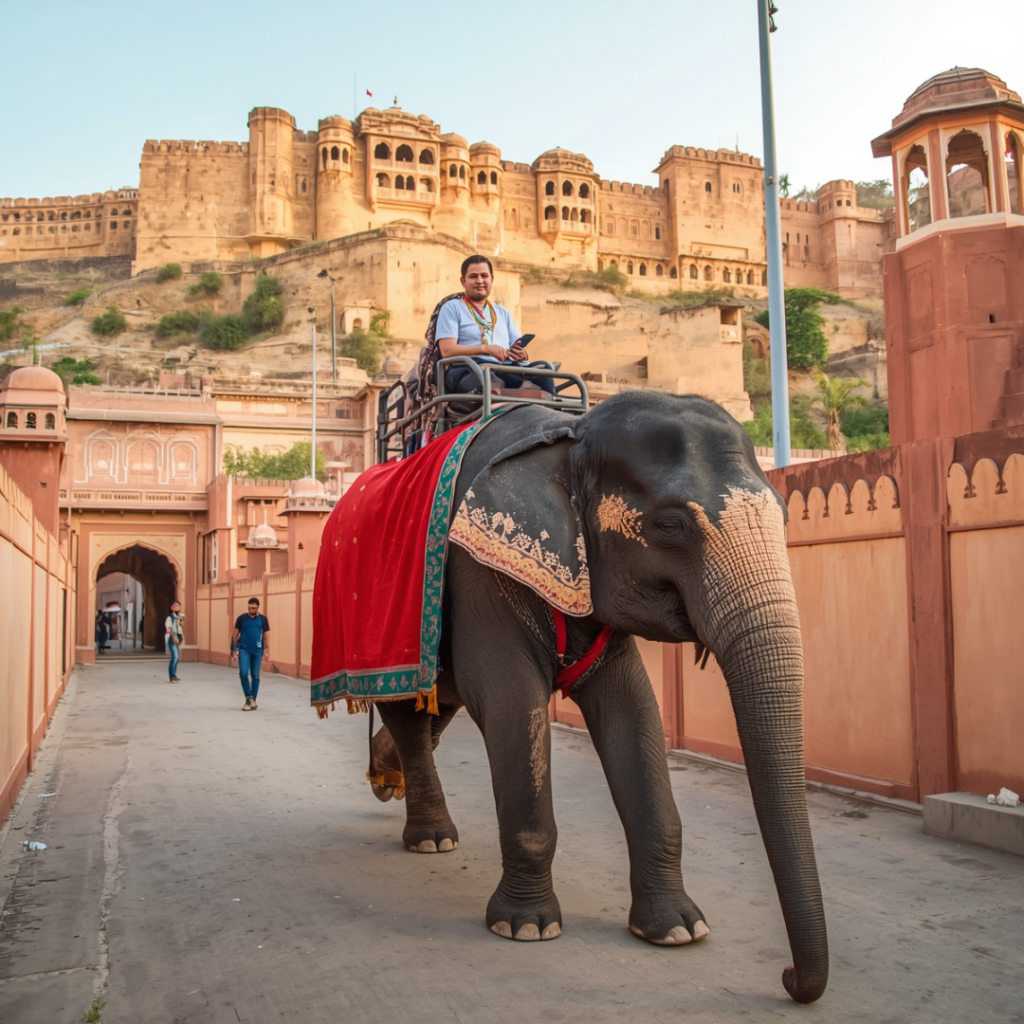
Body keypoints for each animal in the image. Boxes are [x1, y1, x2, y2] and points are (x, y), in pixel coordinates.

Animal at [360, 391, 828, 1004]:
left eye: (785, 516)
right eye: (671, 525)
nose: (790, 978)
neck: (571, 434)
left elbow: (633, 712)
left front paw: (678, 930)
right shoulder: (478, 569)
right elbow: (512, 703)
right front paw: (526, 927)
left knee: (438, 704)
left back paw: (384, 777)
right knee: (410, 709)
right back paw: (431, 840)